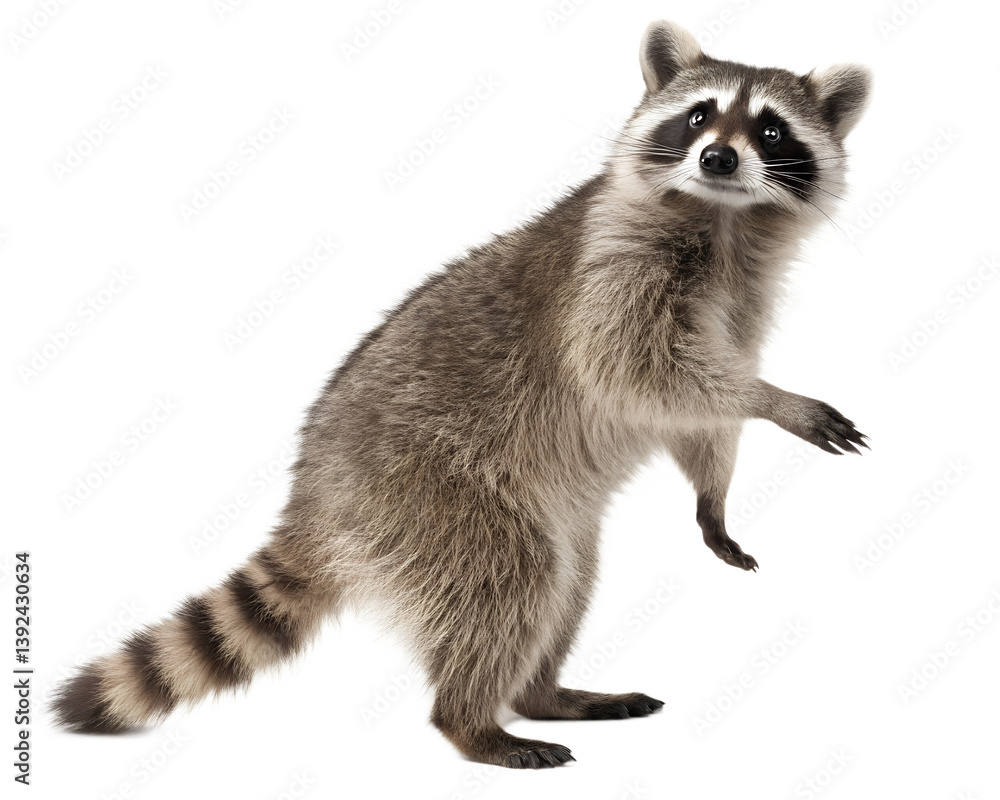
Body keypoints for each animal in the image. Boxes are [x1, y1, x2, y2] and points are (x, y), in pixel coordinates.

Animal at [53, 21, 871, 768]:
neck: (725, 217)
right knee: (506, 583)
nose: (719, 157)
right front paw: (778, 402)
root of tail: (315, 490)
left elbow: (700, 415)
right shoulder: (611, 273)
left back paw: (542, 692)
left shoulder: (743, 303)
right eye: (700, 116)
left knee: (566, 584)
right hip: (431, 489)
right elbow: (637, 372)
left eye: (769, 128)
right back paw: (470, 719)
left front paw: (715, 491)